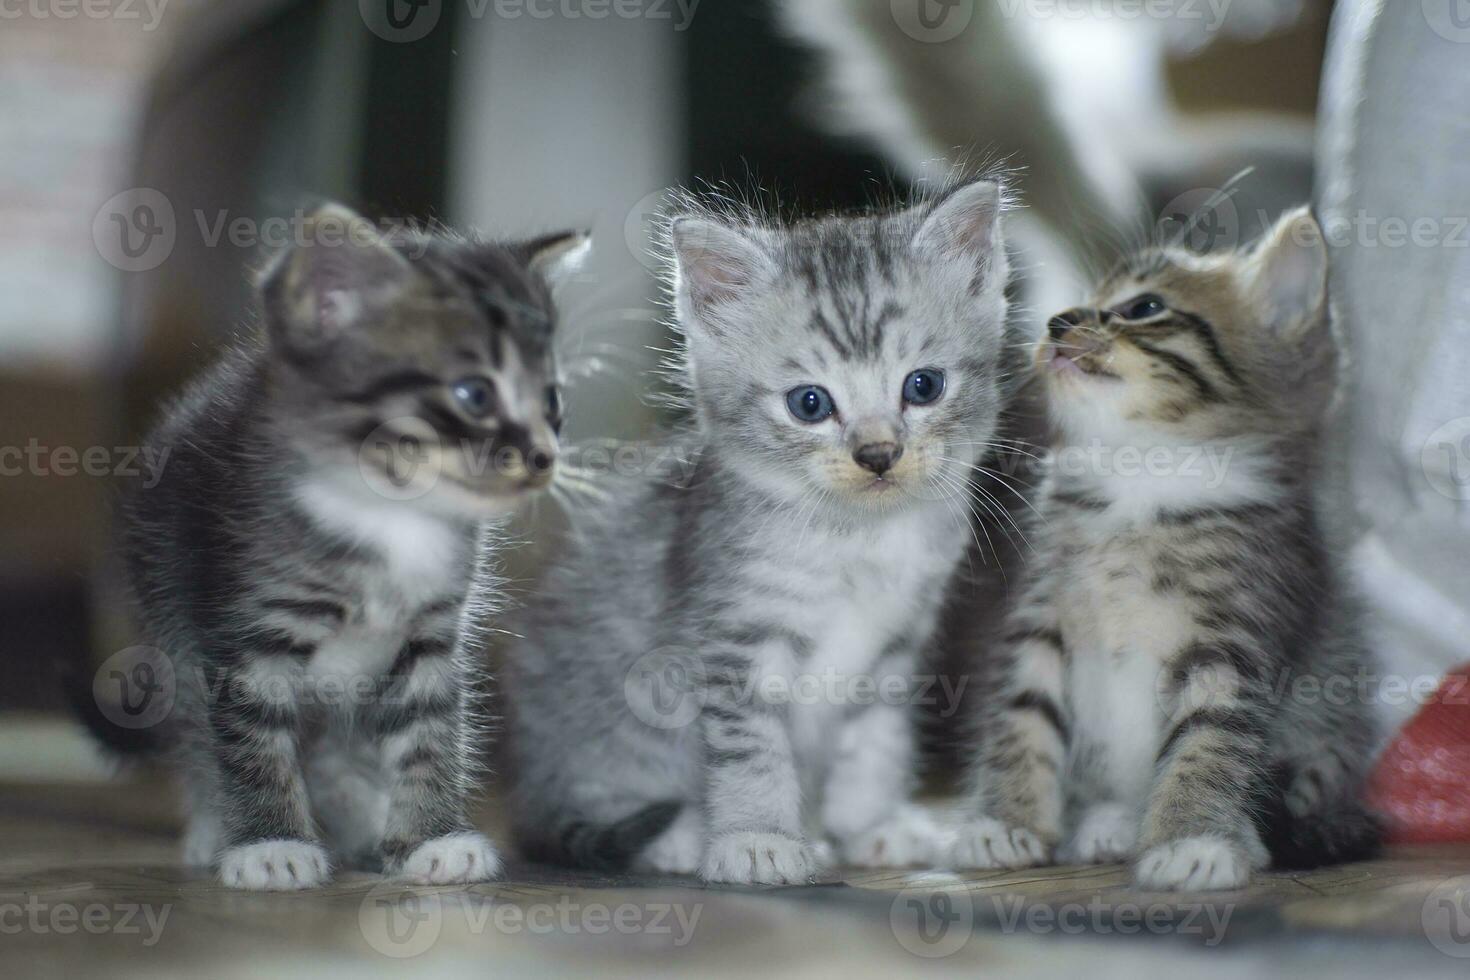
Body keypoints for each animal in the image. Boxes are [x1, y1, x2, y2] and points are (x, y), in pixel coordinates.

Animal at [106, 205, 585, 887]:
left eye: (552, 400)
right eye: (475, 394)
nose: (544, 458)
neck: (389, 511)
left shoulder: (429, 635)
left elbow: (429, 732)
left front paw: (430, 838)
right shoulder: (241, 632)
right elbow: (251, 742)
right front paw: (269, 843)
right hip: (168, 612)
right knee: (199, 734)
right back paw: (213, 830)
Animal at [511, 179, 1017, 887]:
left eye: (924, 386)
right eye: (810, 403)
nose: (878, 455)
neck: (857, 539)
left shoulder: (897, 645)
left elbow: (874, 741)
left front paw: (868, 825)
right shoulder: (736, 638)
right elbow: (752, 748)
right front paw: (757, 840)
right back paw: (680, 837)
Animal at [946, 211, 1381, 893]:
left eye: (1144, 307)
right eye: (1086, 302)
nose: (1058, 320)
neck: (1140, 482)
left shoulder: (1234, 637)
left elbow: (1208, 740)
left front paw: (1192, 840)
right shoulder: (1039, 619)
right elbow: (1021, 716)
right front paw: (1005, 822)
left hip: (1329, 724)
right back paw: (1112, 821)